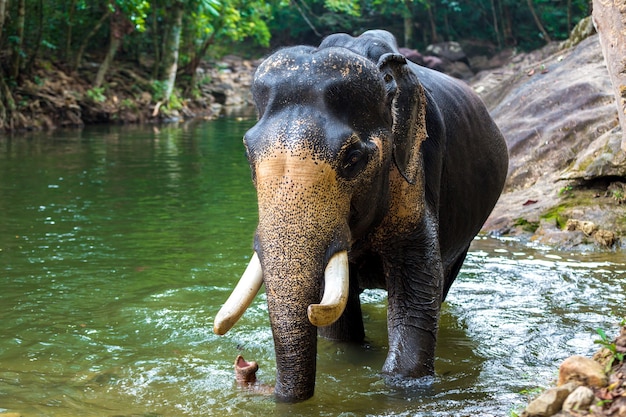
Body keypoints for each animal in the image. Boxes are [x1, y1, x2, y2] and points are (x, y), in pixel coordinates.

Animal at [214, 28, 508, 400]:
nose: (246, 366)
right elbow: (341, 328)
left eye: (353, 159)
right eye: (247, 154)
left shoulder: (416, 173)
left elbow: (417, 295)